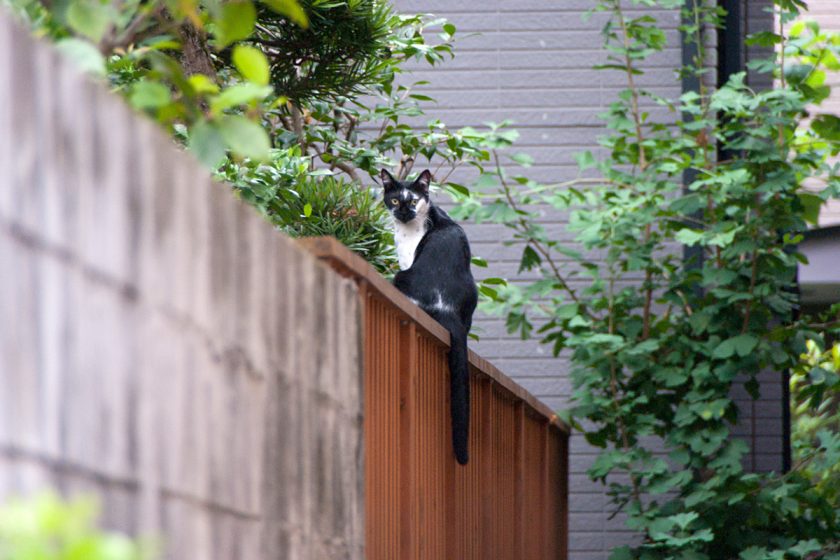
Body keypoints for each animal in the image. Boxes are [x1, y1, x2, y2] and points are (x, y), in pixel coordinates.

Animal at [382, 168, 480, 466]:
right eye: (394, 200)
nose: (404, 212)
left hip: (402, 277)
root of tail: (447, 309)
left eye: (413, 200)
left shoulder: (405, 260)